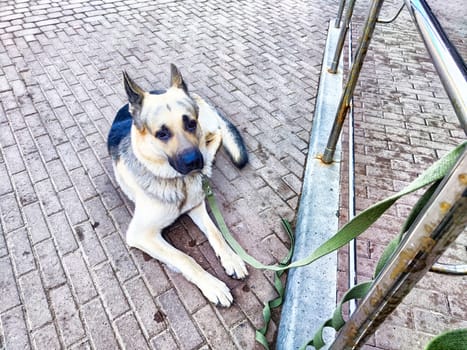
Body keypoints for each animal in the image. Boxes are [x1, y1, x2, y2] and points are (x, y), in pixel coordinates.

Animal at [108, 63, 250, 306]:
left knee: (217, 135)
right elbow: (184, 258)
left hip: (207, 127)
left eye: (190, 124)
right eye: (162, 133)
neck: (178, 182)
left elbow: (215, 232)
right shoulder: (142, 234)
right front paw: (213, 285)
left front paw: (231, 258)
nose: (194, 163)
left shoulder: (197, 206)